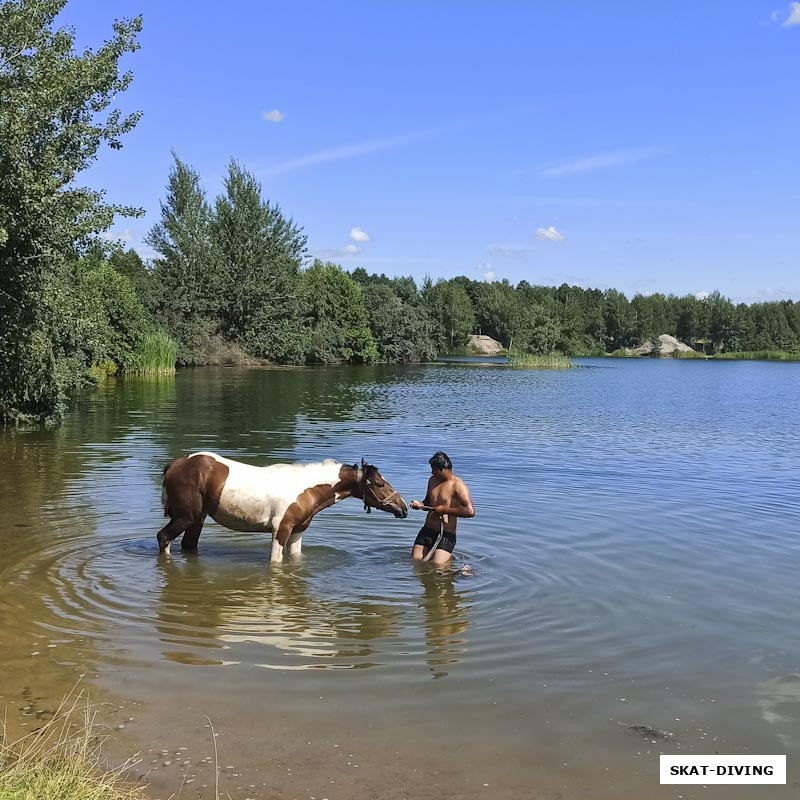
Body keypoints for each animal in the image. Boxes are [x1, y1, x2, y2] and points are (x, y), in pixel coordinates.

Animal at [158, 450, 406, 564]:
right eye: (380, 484)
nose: (403, 508)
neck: (306, 488)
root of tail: (176, 465)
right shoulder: (281, 530)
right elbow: (276, 563)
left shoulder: (297, 533)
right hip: (186, 517)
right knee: (163, 537)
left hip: (197, 520)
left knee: (188, 546)